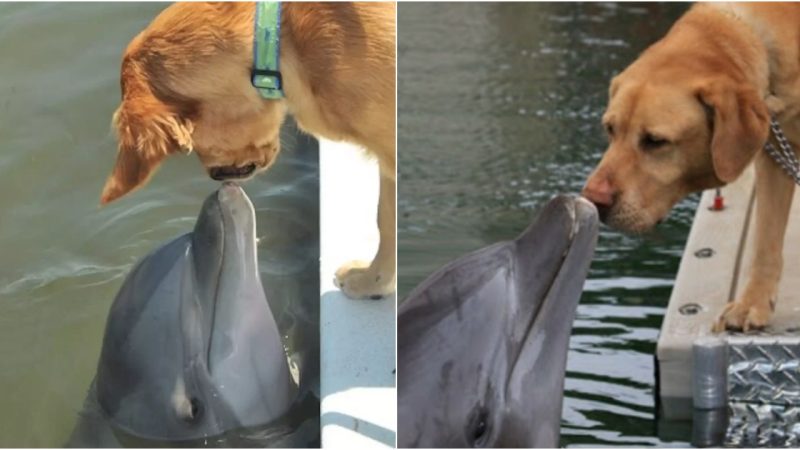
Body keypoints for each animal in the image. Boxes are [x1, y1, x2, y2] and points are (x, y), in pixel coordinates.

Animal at [101, 3, 398, 300]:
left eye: (193, 144)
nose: (218, 178)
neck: (280, 39)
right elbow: (385, 218)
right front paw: (373, 282)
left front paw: (370, 281)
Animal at [580, 2, 800, 330]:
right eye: (610, 128)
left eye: (655, 140)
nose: (594, 199)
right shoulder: (774, 152)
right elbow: (765, 240)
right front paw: (752, 304)